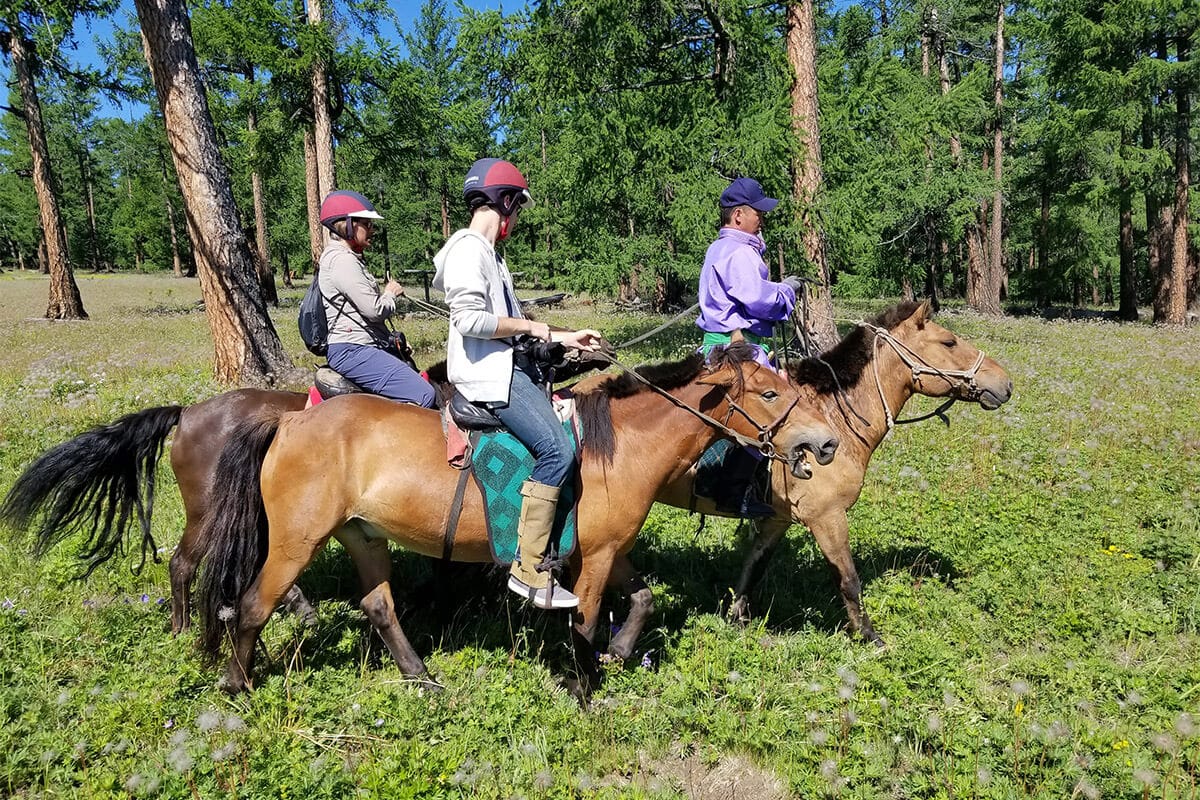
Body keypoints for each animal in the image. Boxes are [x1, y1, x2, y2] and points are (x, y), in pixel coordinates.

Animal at [191, 345, 839, 695]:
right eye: (769, 393)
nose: (826, 442)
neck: (619, 447)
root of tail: (290, 421)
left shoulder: (606, 549)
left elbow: (643, 599)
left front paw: (618, 652)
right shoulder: (595, 557)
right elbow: (585, 618)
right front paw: (582, 684)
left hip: (363, 535)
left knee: (378, 607)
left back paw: (421, 677)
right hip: (295, 542)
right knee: (251, 606)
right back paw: (236, 683)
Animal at [650, 300, 1013, 646]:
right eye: (949, 342)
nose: (1006, 383)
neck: (833, 416)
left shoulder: (777, 520)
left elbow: (754, 566)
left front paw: (737, 619)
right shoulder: (828, 517)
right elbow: (849, 580)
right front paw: (870, 637)